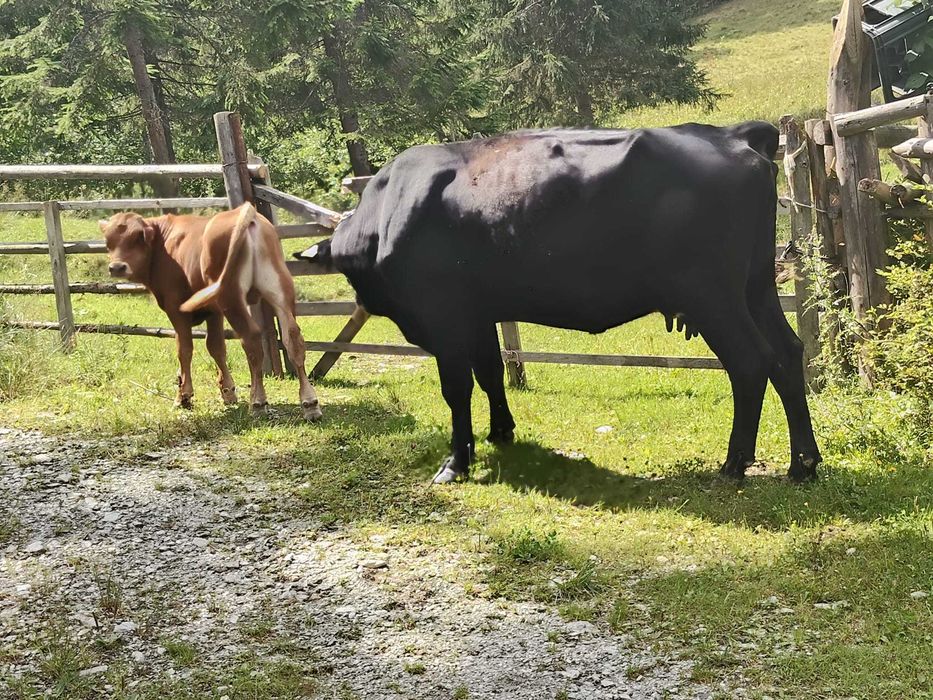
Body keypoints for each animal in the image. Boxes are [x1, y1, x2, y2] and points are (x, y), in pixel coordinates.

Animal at [100, 203, 323, 422]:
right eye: (109, 241)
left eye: (138, 237)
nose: (117, 267)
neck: (164, 243)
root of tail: (246, 212)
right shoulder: (214, 312)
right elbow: (216, 347)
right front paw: (228, 392)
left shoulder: (176, 309)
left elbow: (184, 349)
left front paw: (183, 396)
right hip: (279, 293)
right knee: (293, 338)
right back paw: (310, 403)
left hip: (232, 299)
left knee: (251, 340)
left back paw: (258, 402)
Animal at [298, 123, 822, 484]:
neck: (387, 214)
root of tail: (732, 134)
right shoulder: (479, 314)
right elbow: (491, 372)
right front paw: (502, 432)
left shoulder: (444, 318)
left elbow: (457, 389)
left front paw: (457, 462)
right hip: (755, 287)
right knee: (787, 354)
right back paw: (803, 462)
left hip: (713, 296)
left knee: (751, 363)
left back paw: (735, 462)